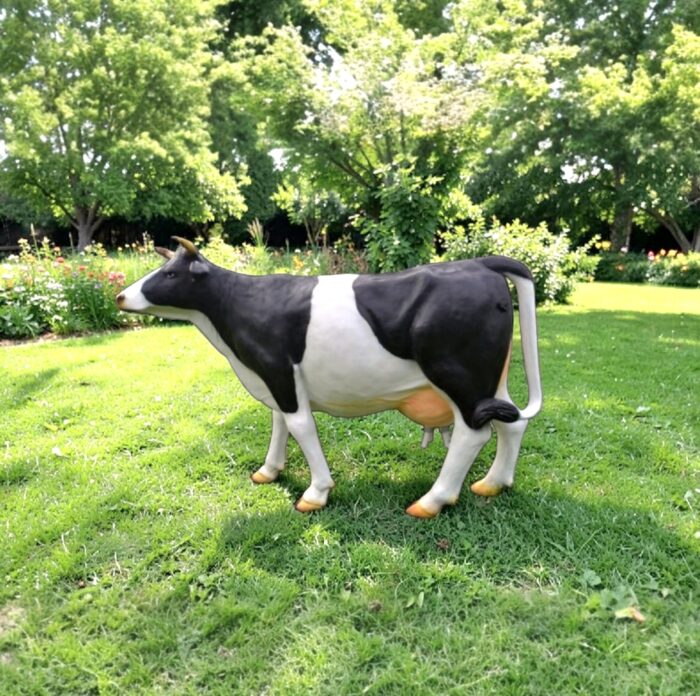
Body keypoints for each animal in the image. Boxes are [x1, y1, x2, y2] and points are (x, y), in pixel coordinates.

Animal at [116, 237, 542, 518]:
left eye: (170, 273)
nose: (120, 296)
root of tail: (480, 264)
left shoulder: (278, 370)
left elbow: (300, 427)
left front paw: (316, 492)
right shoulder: (275, 378)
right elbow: (278, 424)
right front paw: (269, 471)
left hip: (460, 375)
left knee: (473, 433)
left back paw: (431, 501)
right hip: (489, 377)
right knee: (511, 423)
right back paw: (493, 483)